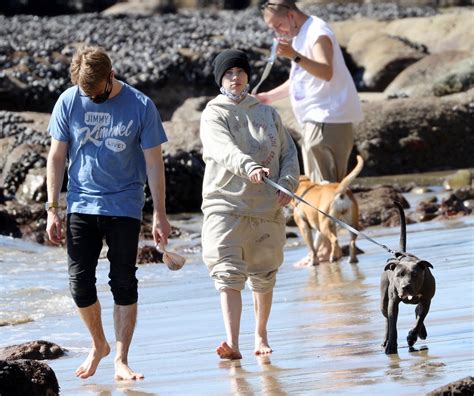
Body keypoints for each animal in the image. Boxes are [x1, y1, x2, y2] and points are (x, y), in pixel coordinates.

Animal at [382, 203, 436, 354]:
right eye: (399, 275)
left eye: (415, 274)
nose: (405, 286)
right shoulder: (393, 302)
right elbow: (393, 324)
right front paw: (391, 345)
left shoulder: (426, 300)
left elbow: (419, 319)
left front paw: (412, 337)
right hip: (384, 300)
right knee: (386, 319)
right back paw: (385, 340)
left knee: (417, 311)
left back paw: (420, 332)